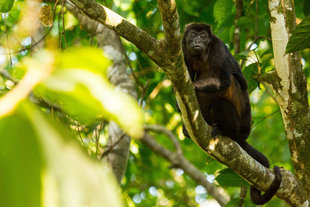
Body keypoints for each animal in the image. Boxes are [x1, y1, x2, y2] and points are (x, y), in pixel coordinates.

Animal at [182, 23, 280, 205]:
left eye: (203, 36)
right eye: (193, 35)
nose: (198, 40)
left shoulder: (218, 48)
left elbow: (224, 79)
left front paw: (193, 85)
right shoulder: (183, 51)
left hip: (238, 125)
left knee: (224, 94)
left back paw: (223, 130)